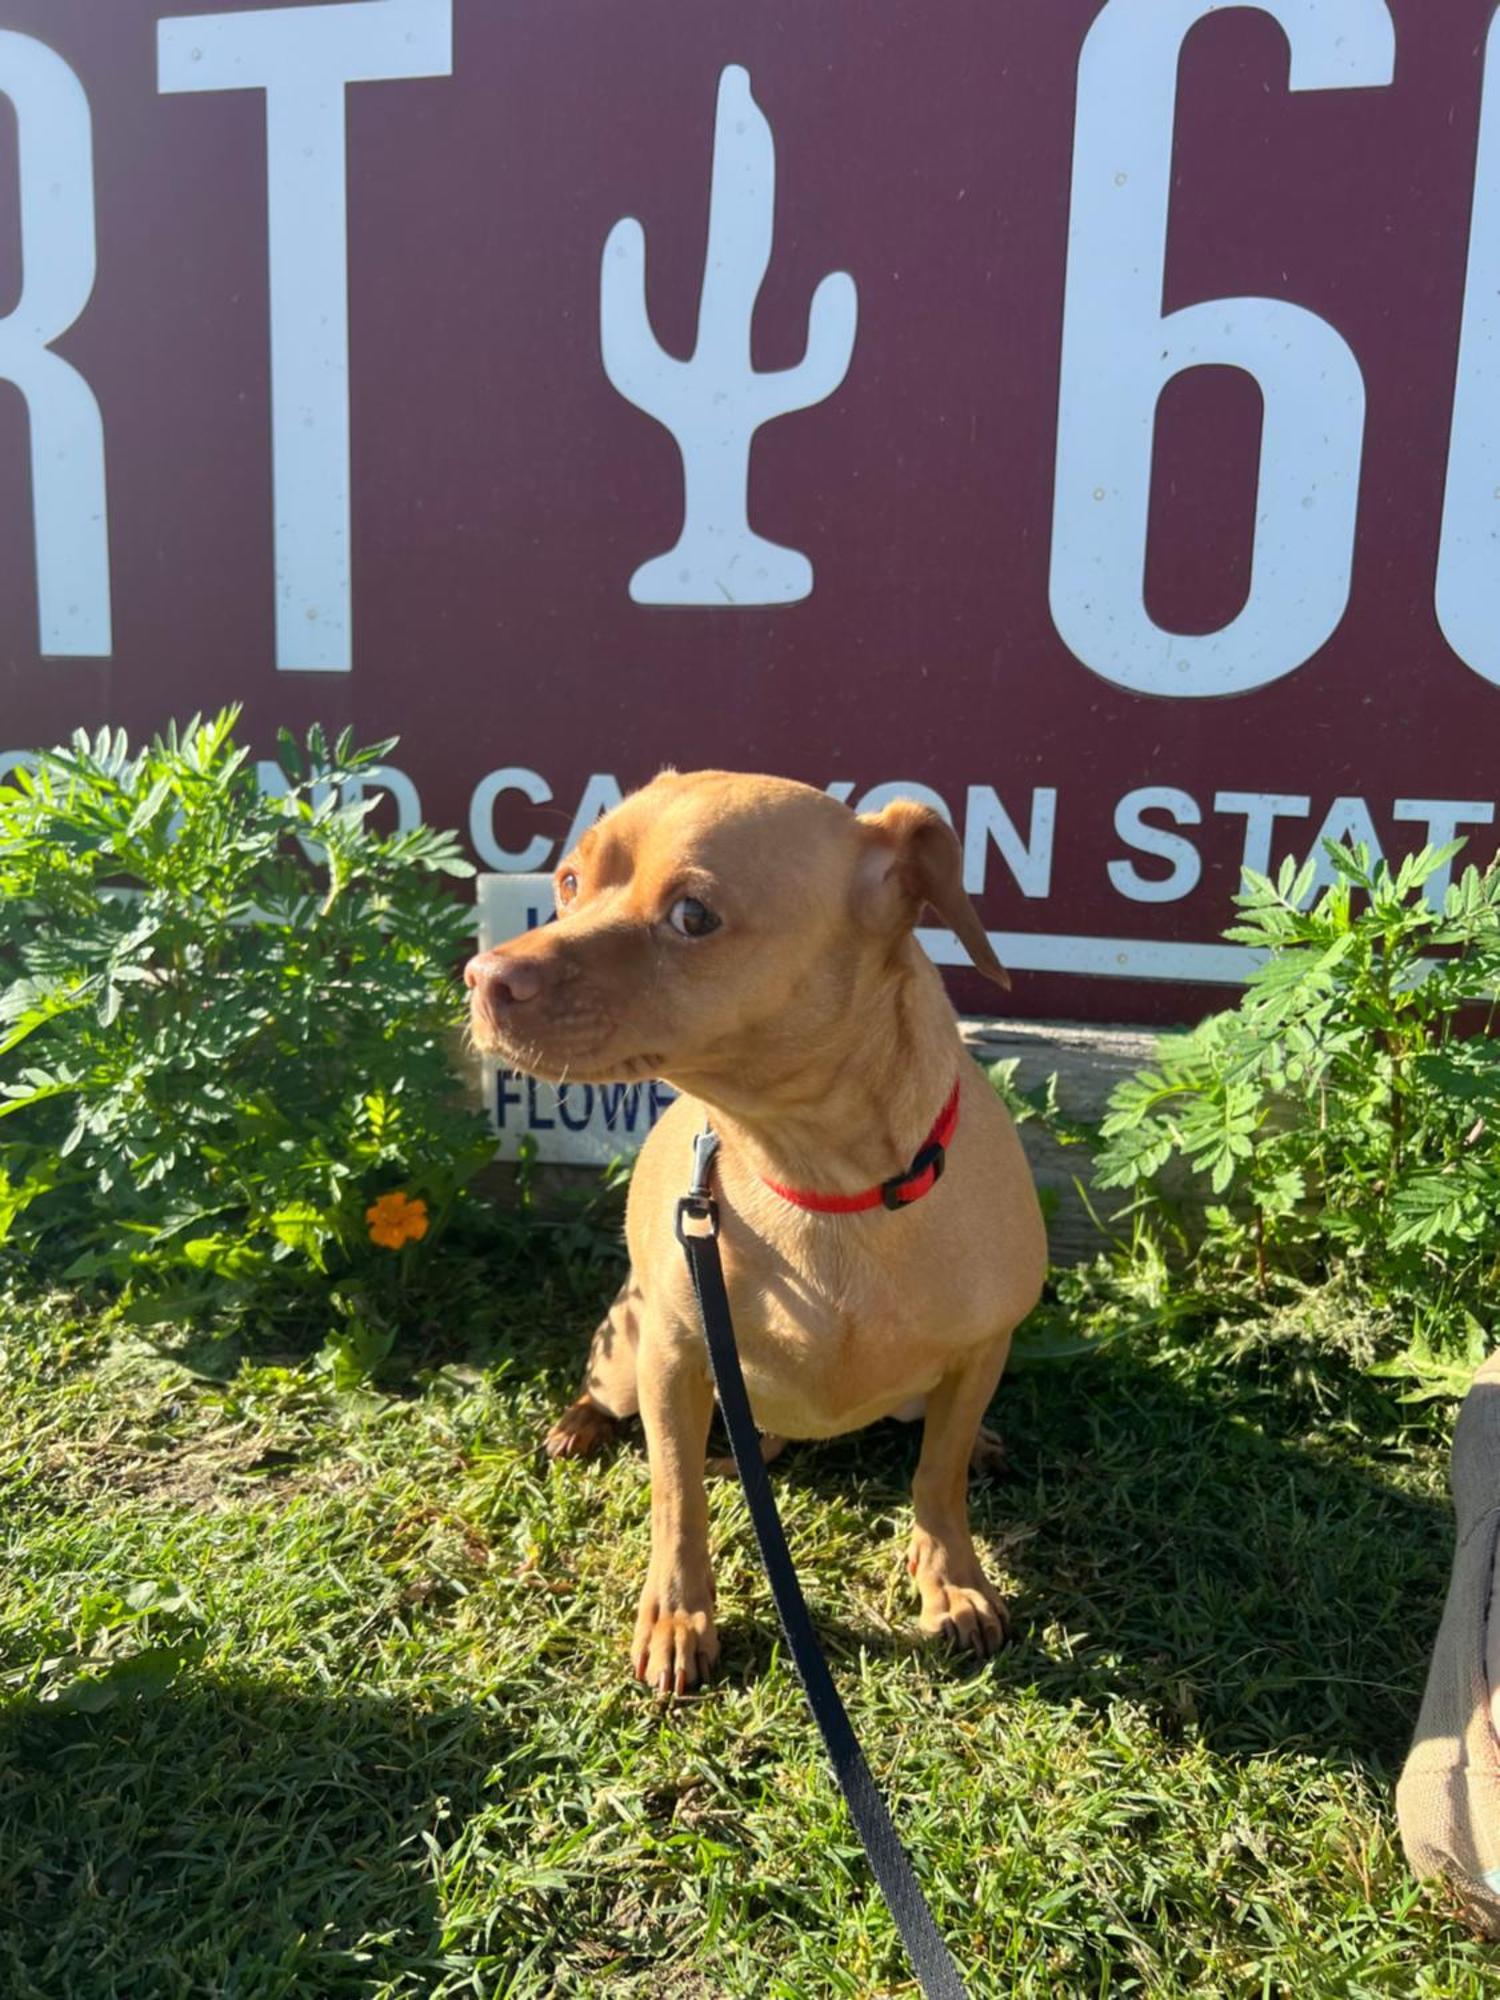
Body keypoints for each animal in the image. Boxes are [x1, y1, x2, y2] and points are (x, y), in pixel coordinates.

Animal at [468, 772, 1048, 1696]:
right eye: (567, 883)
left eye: (693, 915)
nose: (483, 975)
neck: (817, 1176)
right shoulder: (674, 1359)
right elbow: (677, 1500)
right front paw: (678, 1617)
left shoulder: (980, 1351)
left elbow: (938, 1476)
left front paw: (951, 1579)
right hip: (627, 1355)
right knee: (616, 1399)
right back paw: (578, 1424)